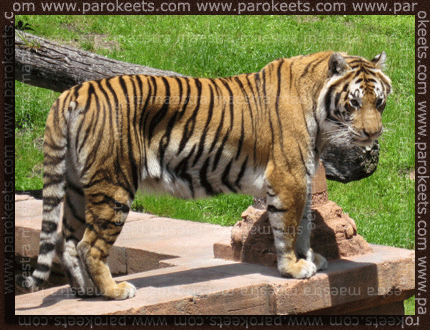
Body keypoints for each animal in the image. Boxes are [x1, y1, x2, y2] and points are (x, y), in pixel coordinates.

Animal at [17, 51, 390, 300]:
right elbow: (287, 226)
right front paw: (293, 268)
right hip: (114, 184)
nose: (373, 133)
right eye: (354, 103)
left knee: (66, 242)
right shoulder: (289, 177)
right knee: (88, 245)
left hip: (77, 187)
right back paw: (114, 290)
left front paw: (310, 258)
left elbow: (305, 224)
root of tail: (74, 91)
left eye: (380, 102)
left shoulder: (305, 178)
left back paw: (85, 291)